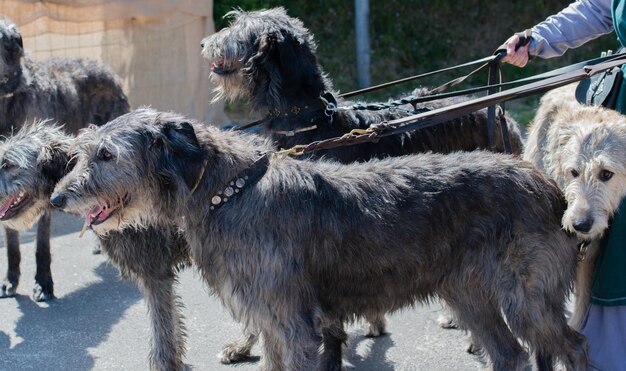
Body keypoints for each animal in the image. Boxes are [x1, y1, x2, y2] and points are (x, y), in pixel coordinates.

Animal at [53, 108, 584, 371]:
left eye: (106, 154)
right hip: (468, 294)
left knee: (572, 345)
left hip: (525, 297)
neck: (229, 191)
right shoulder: (269, 322)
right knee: (511, 355)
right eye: (81, 151)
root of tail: (550, 186)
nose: (58, 198)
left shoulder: (294, 326)